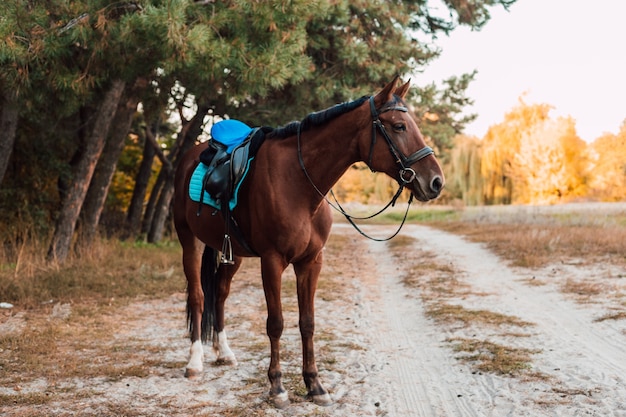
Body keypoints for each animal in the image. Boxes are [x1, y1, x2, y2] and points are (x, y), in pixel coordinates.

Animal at [172, 75, 444, 406]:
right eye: (399, 126)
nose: (436, 182)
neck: (298, 183)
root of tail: (189, 157)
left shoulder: (311, 262)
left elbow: (308, 323)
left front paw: (315, 384)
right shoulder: (272, 262)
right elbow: (276, 323)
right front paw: (277, 387)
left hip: (230, 252)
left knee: (220, 295)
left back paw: (224, 353)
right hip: (190, 241)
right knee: (199, 298)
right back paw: (194, 362)